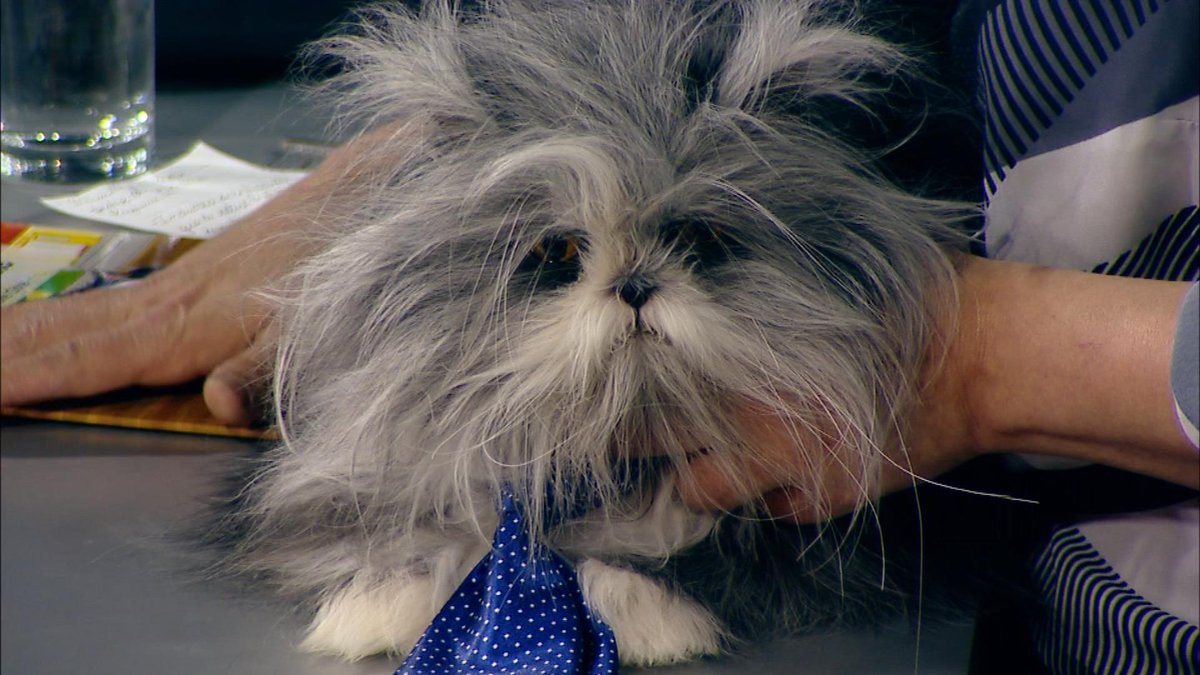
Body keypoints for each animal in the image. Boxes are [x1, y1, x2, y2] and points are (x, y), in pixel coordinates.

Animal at [207, 0, 988, 666]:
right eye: (558, 250)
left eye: (697, 238)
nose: (635, 286)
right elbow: (426, 531)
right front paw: (373, 605)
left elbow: (702, 558)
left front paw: (643, 611)